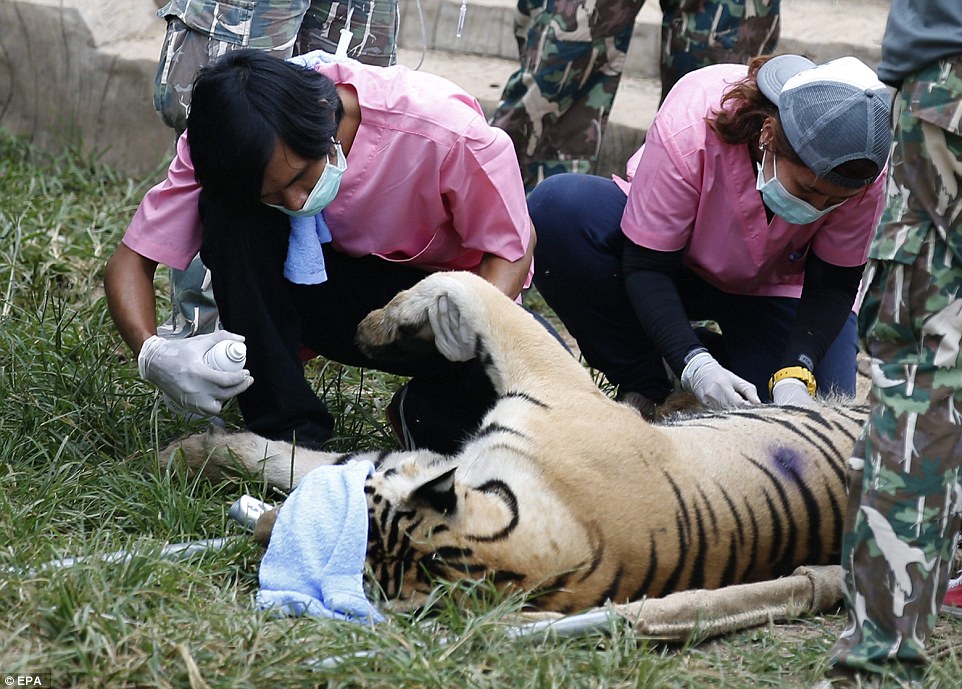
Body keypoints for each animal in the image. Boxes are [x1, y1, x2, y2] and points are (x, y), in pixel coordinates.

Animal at [161, 270, 865, 614]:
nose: (261, 533)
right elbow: (295, 458)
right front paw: (188, 455)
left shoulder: (547, 378)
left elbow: (462, 281)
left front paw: (376, 325)